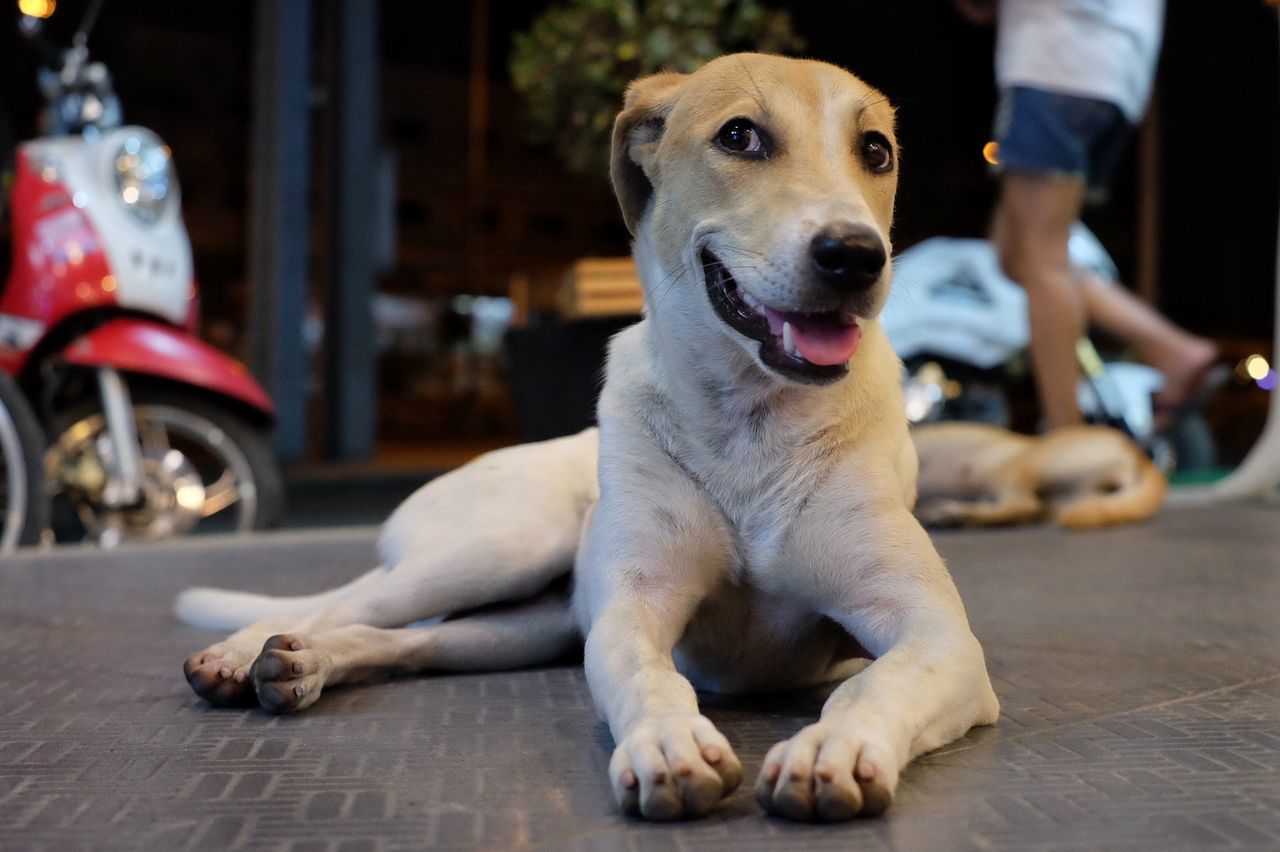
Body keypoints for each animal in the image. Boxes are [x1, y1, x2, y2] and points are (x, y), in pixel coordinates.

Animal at [180, 54, 998, 823]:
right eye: (740, 136)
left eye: (876, 150)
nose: (855, 255)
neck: (749, 421)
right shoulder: (630, 611)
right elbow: (649, 677)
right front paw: (666, 744)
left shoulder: (938, 636)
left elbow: (875, 682)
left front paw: (838, 747)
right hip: (502, 547)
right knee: (345, 604)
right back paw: (245, 651)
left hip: (523, 627)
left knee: (404, 641)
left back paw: (306, 664)